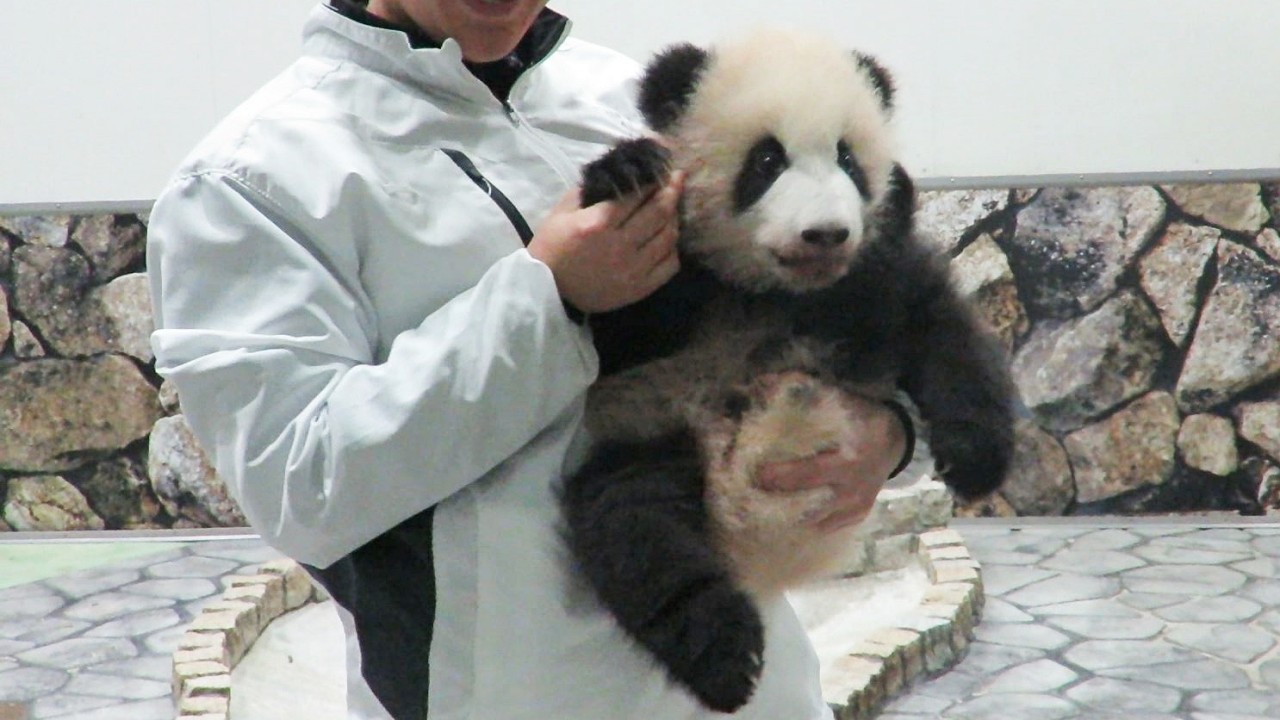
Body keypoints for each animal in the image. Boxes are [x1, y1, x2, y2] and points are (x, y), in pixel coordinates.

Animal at [560, 28, 1015, 714]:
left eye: (848, 159)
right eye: (767, 161)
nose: (825, 234)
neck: (773, 292)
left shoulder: (868, 283)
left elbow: (937, 326)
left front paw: (975, 457)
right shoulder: (675, 298)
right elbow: (614, 323)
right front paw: (623, 172)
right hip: (653, 429)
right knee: (637, 529)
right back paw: (726, 659)